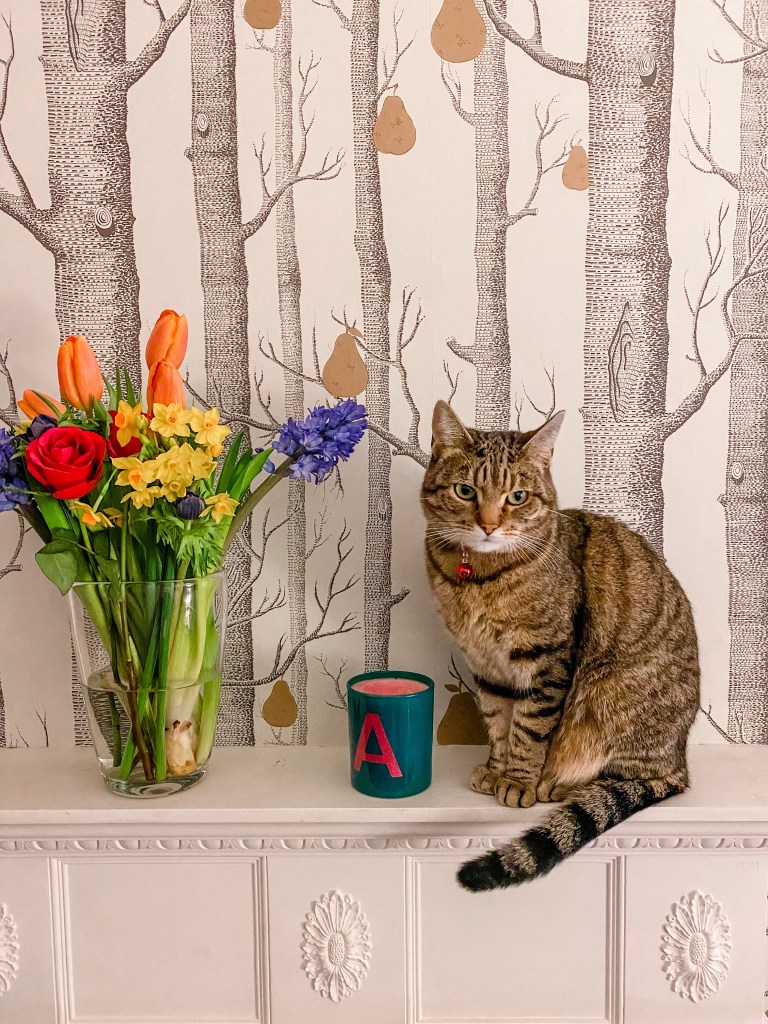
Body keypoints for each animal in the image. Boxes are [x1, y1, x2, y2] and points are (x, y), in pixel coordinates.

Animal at [421, 400, 699, 892]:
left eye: (517, 497)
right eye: (465, 490)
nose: (488, 525)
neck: (478, 579)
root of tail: (680, 758)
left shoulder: (546, 659)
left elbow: (530, 728)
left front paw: (519, 780)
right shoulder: (486, 667)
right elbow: (498, 721)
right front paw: (497, 768)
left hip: (608, 693)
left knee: (620, 775)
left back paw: (557, 784)